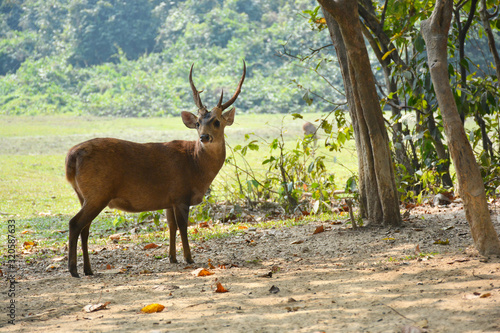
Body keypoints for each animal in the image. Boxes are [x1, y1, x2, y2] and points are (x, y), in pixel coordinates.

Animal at [65, 61, 245, 276]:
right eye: (198, 123)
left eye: (217, 122)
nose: (204, 137)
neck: (195, 165)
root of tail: (71, 157)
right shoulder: (180, 194)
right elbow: (183, 226)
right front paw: (189, 258)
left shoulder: (169, 199)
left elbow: (171, 226)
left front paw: (172, 258)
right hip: (98, 192)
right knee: (75, 223)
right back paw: (73, 270)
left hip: (83, 194)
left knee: (85, 228)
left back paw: (88, 269)